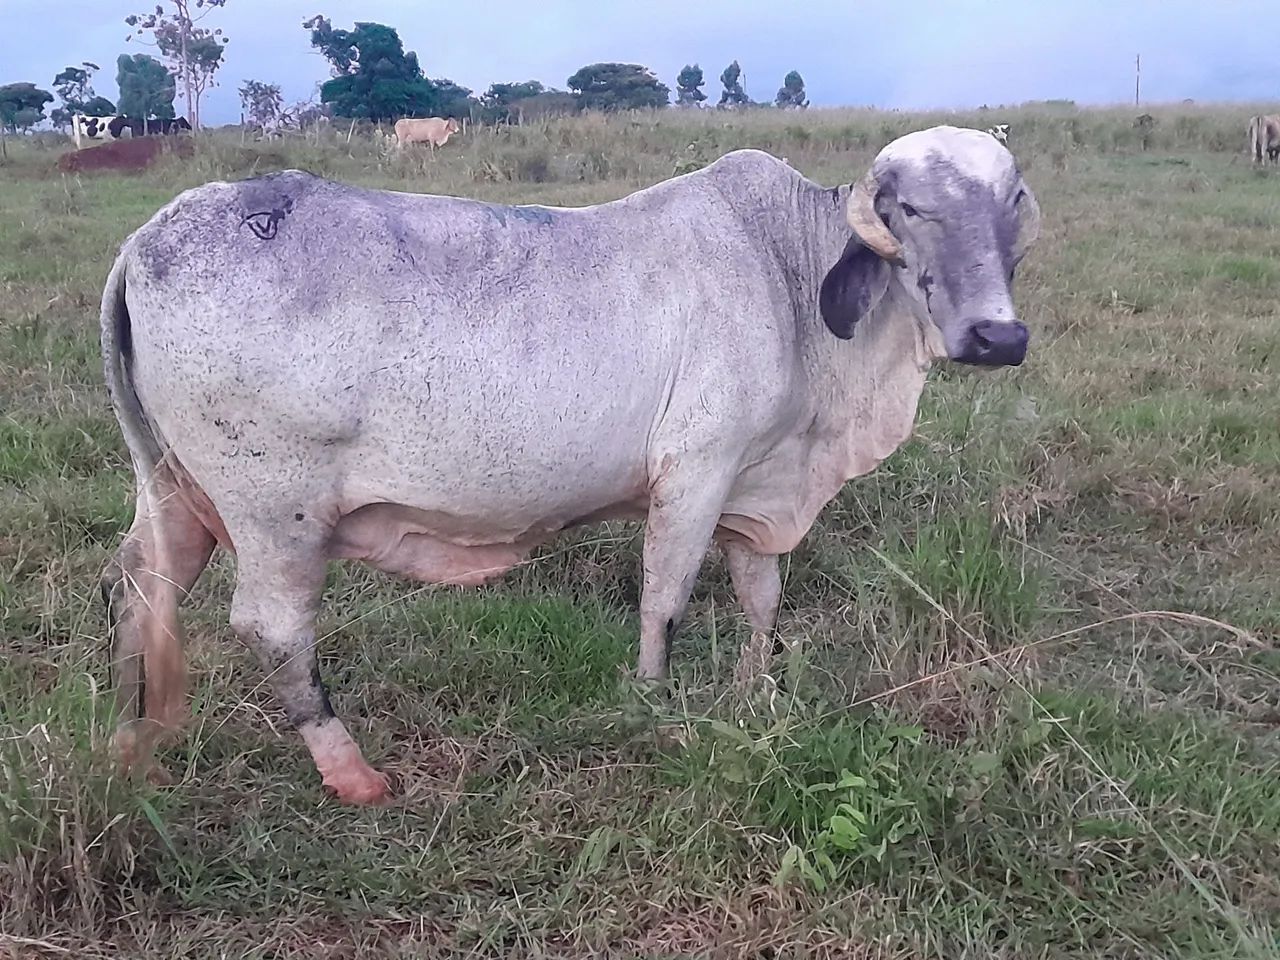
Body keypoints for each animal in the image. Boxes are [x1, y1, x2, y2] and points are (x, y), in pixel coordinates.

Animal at [99, 125, 1040, 805]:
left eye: (1009, 206)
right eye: (911, 207)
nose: (999, 336)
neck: (786, 268)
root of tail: (150, 235)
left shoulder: (758, 487)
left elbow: (761, 600)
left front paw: (756, 692)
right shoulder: (696, 471)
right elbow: (664, 599)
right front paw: (653, 706)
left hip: (175, 492)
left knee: (141, 584)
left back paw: (134, 746)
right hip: (274, 511)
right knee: (272, 627)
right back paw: (351, 773)